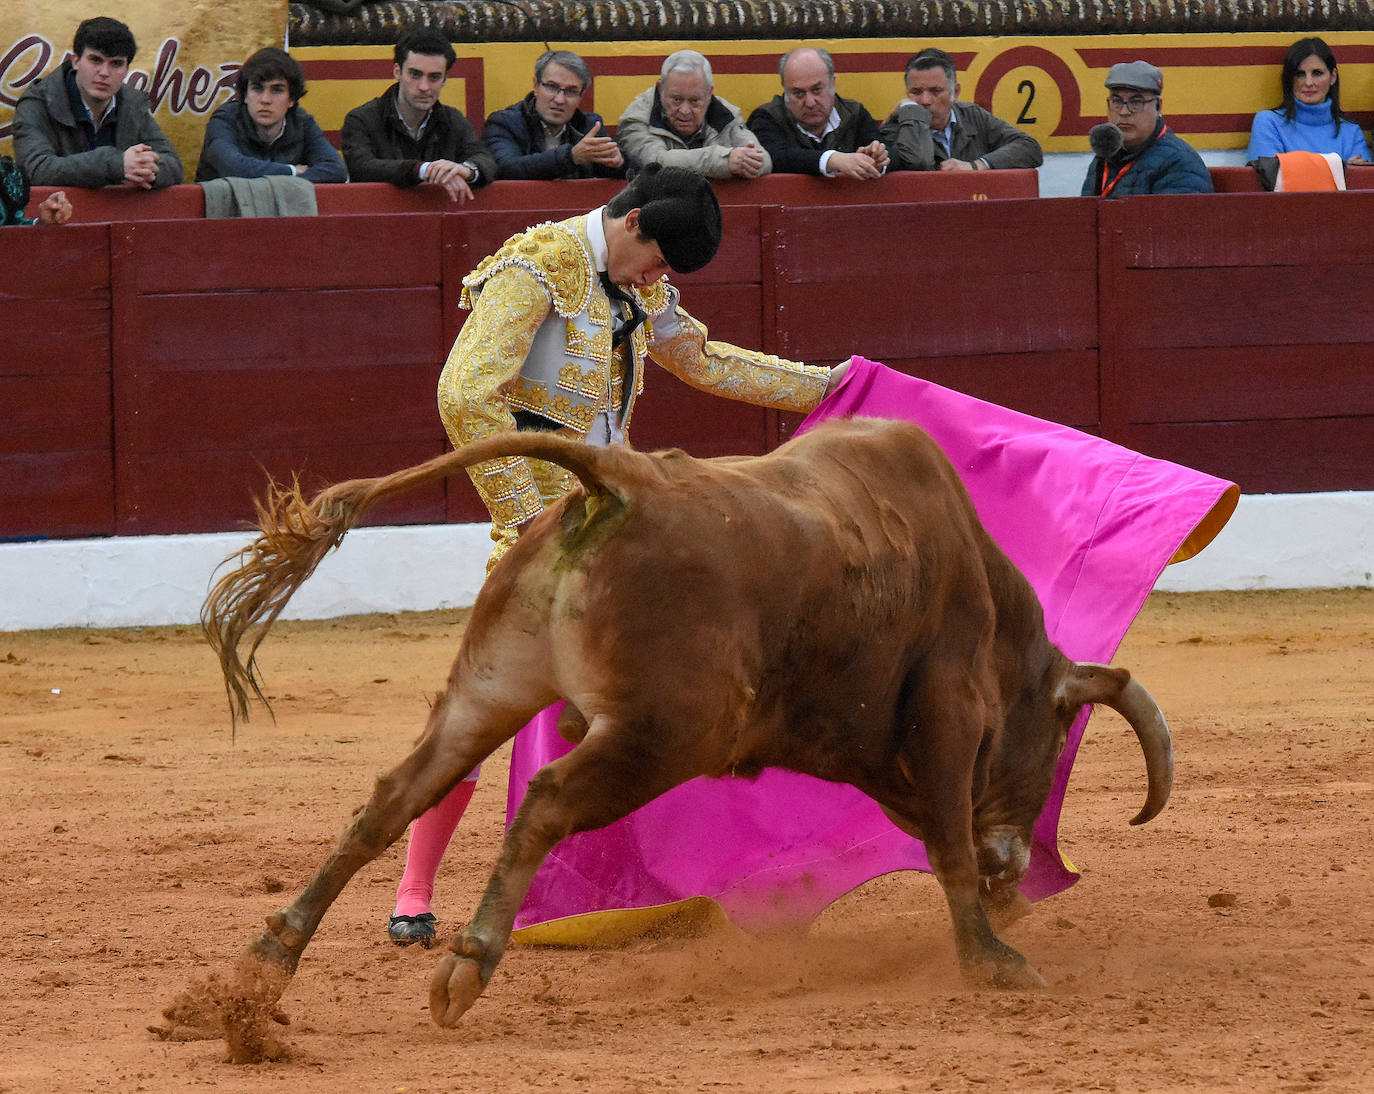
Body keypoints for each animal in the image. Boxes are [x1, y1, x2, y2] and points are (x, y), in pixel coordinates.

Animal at [179, 415, 1170, 1044]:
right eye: (1057, 737)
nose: (1016, 875)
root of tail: (622, 484)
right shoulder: (949, 708)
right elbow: (950, 842)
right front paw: (992, 960)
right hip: (667, 731)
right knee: (545, 800)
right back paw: (466, 967)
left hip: (492, 687)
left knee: (395, 798)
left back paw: (263, 964)